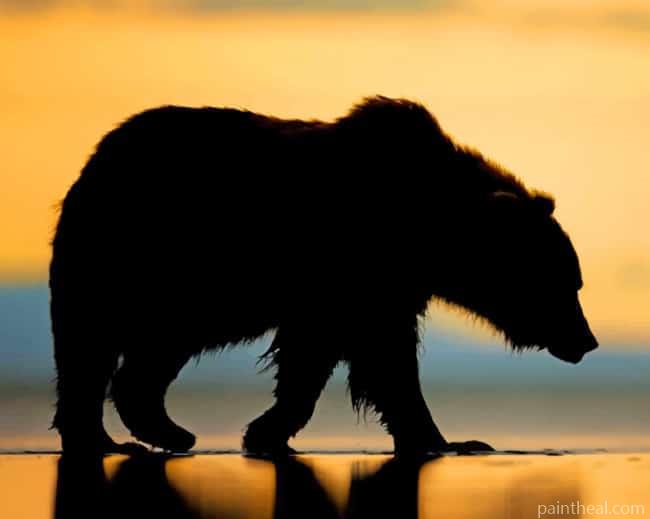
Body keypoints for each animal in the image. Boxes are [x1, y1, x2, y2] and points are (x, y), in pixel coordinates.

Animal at [50, 96, 598, 456]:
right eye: (566, 284)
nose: (587, 340)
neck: (427, 226)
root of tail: (98, 156)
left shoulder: (375, 285)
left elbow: (323, 356)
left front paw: (266, 431)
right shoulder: (352, 268)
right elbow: (380, 358)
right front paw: (451, 440)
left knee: (145, 352)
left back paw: (161, 430)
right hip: (137, 257)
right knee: (91, 345)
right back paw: (112, 437)